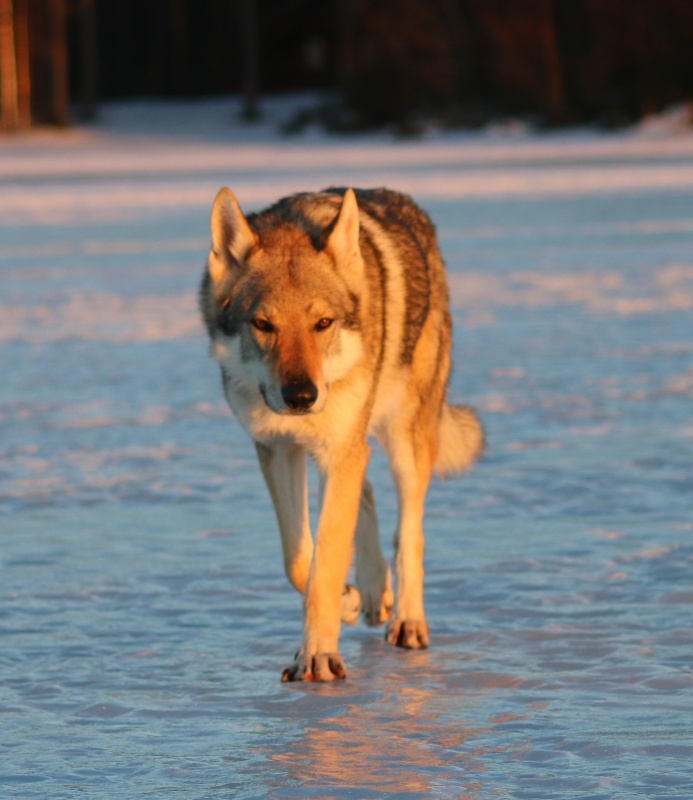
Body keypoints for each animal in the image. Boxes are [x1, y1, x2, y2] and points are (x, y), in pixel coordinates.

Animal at [200, 188, 482, 680]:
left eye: (323, 323)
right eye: (263, 324)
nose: (301, 396)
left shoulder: (336, 452)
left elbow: (326, 561)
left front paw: (317, 656)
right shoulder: (279, 449)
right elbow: (300, 560)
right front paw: (348, 601)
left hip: (405, 440)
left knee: (410, 532)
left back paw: (408, 621)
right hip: (355, 445)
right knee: (366, 493)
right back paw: (371, 593)